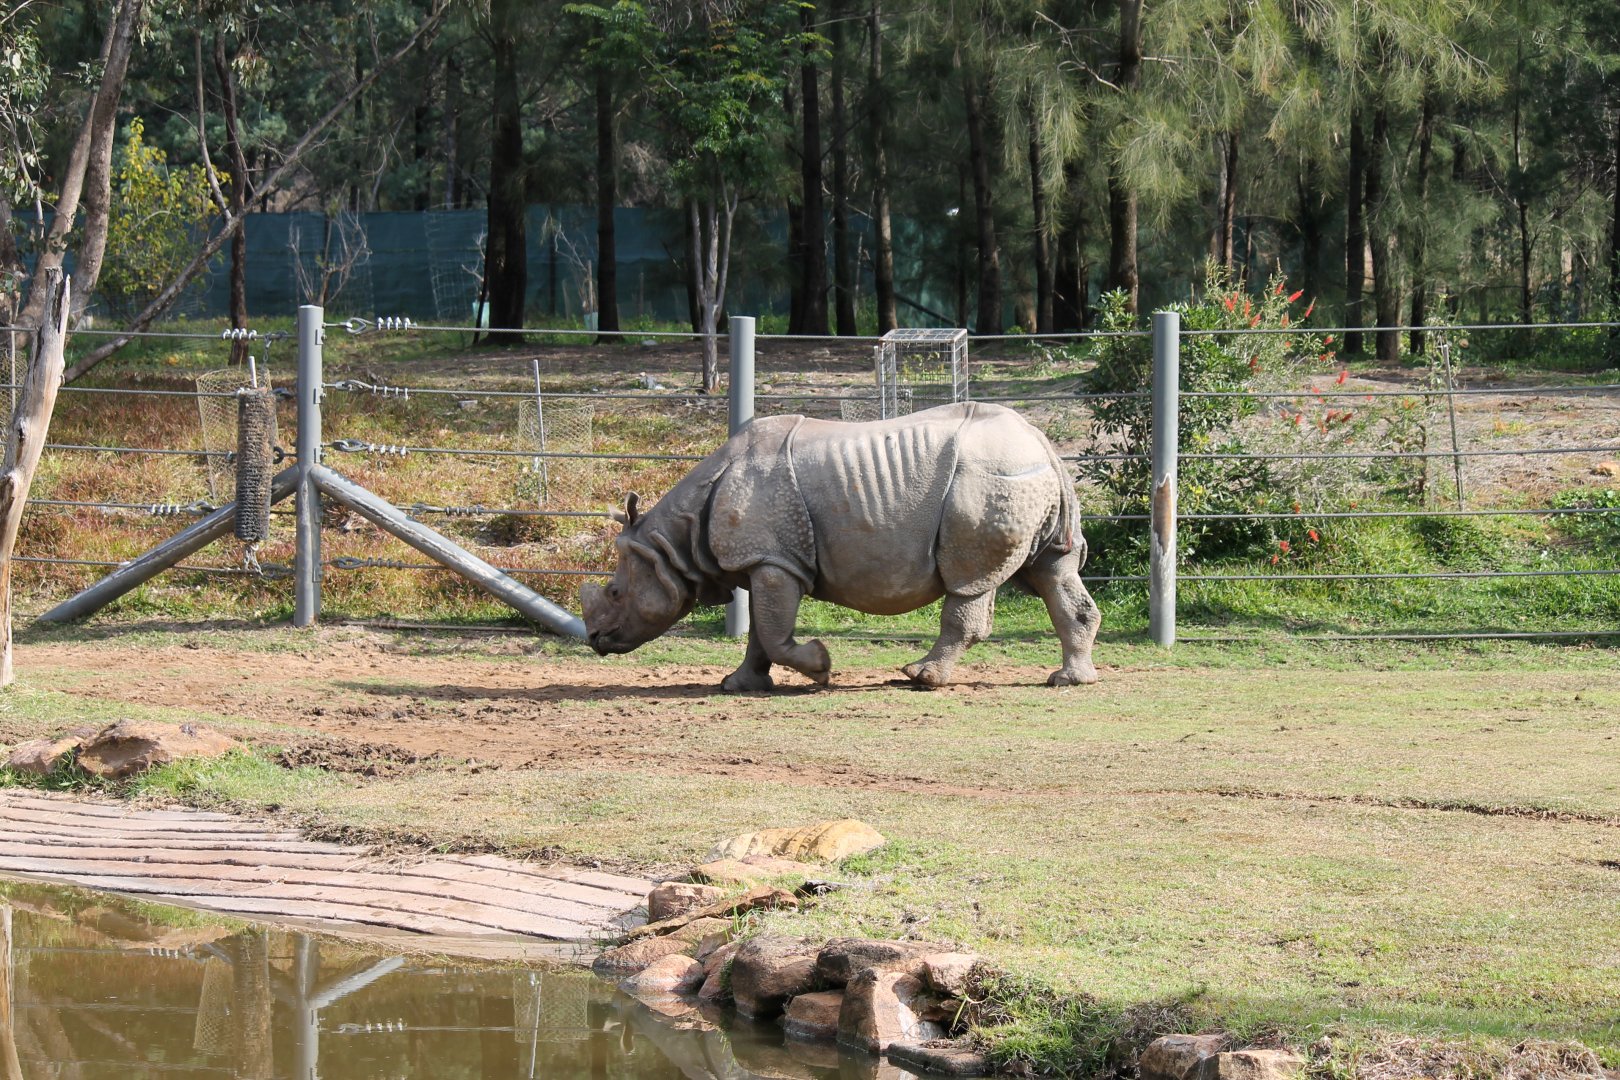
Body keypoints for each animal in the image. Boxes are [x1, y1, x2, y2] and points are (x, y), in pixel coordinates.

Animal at [579, 402, 1099, 691]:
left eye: (614, 593)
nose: (594, 640)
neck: (672, 539)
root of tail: (1041, 440)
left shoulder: (774, 559)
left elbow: (773, 633)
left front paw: (821, 667)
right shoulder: (770, 560)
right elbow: (760, 634)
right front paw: (737, 685)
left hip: (989, 481)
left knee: (970, 579)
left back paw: (920, 677)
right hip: (1023, 479)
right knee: (1051, 570)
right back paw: (1069, 681)